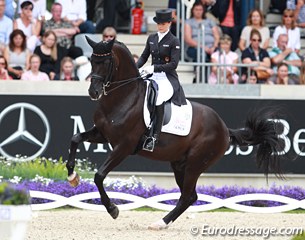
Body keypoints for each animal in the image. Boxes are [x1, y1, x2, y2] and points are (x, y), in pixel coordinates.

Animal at [66, 38, 282, 230]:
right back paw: (161, 222)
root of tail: (223, 127)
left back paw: (159, 223)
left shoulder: (124, 146)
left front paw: (113, 209)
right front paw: (72, 176)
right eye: (92, 61)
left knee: (187, 196)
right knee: (190, 196)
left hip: (195, 164)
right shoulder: (103, 134)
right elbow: (75, 138)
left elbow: (99, 175)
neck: (123, 98)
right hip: (179, 164)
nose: (93, 92)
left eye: (106, 62)